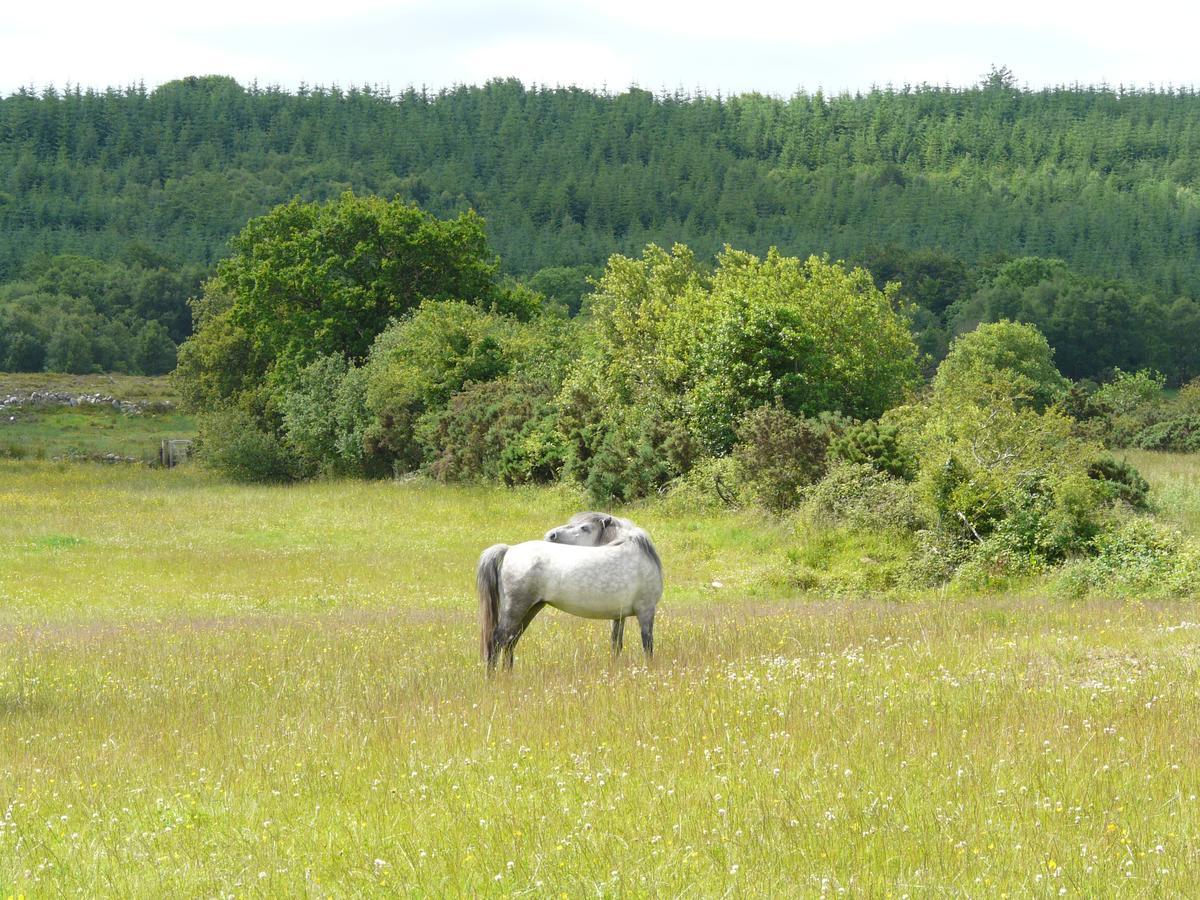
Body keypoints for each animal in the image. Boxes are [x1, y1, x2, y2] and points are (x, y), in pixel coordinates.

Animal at [477, 511, 667, 672]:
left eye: (584, 527)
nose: (550, 535)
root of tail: (509, 549)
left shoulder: (619, 616)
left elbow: (616, 645)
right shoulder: (646, 611)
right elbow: (647, 644)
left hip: (530, 609)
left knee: (510, 642)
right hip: (515, 609)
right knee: (496, 641)